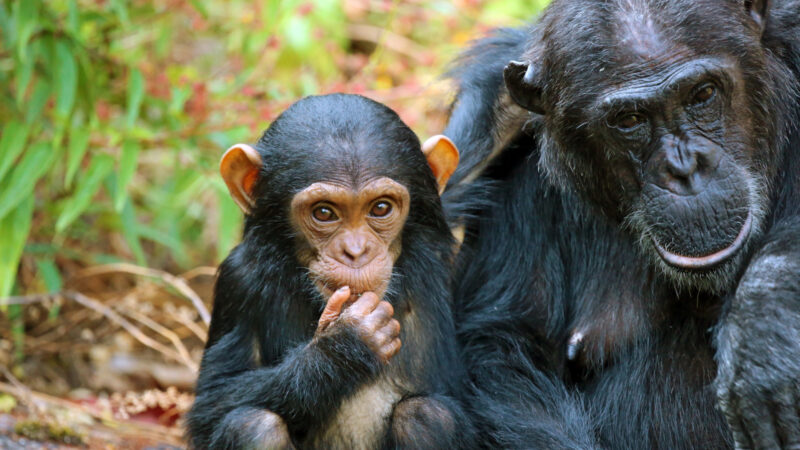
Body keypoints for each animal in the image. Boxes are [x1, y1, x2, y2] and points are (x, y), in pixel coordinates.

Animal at [184, 93, 472, 448]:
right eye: (324, 213)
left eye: (381, 208)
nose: (356, 252)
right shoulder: (237, 280)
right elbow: (213, 399)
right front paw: (344, 347)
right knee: (252, 425)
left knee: (427, 417)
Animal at [444, 0, 800, 448]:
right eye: (630, 120)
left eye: (702, 94)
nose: (684, 169)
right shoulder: (514, 180)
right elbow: (505, 348)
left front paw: (763, 322)